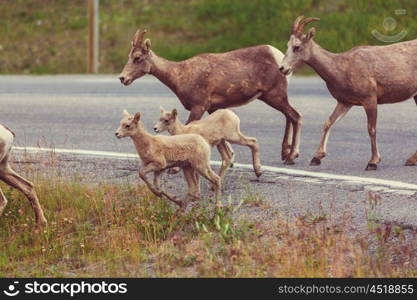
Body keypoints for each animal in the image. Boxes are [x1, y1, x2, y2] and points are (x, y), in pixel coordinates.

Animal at [118, 28, 300, 164]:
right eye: (128, 56)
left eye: (137, 58)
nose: (122, 78)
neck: (180, 76)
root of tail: (280, 59)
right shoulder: (213, 107)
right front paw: (231, 159)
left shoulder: (199, 106)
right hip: (271, 97)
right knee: (289, 116)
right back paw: (285, 154)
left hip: (275, 95)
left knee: (295, 116)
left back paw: (291, 156)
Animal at [278, 17, 416, 171]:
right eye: (288, 45)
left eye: (297, 47)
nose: (282, 68)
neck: (342, 68)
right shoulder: (345, 102)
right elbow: (328, 123)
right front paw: (316, 158)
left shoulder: (370, 100)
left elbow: (371, 129)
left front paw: (373, 162)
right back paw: (411, 160)